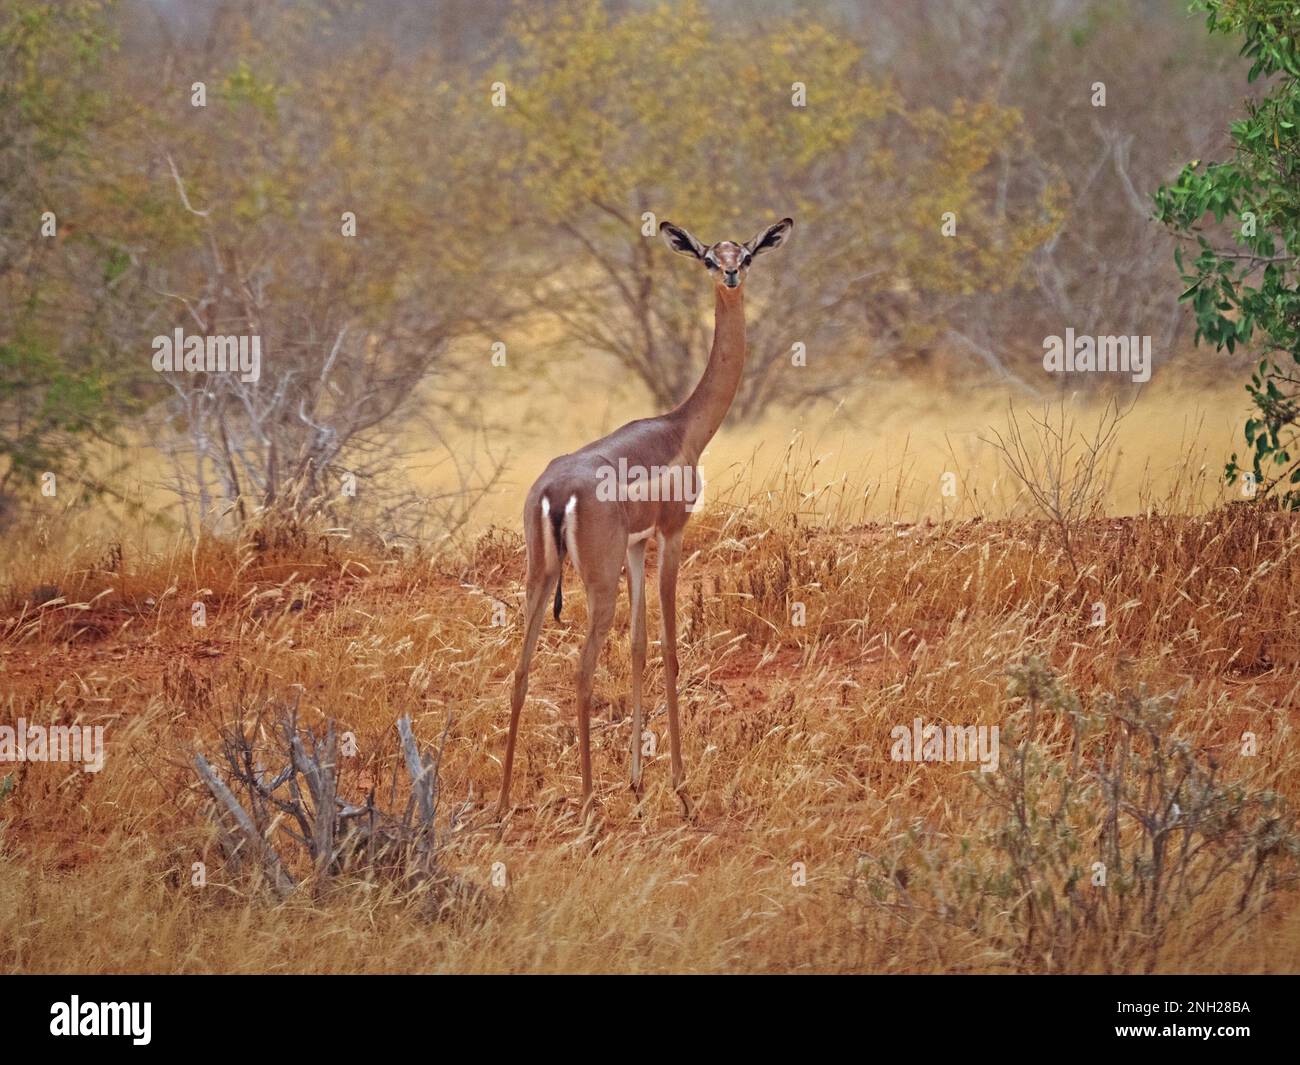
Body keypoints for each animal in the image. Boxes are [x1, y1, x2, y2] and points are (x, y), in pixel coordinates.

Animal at [496, 217, 794, 821]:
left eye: (746, 254)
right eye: (708, 257)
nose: (730, 275)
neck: (683, 426)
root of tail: (556, 492)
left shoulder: (637, 545)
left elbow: (636, 648)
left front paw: (636, 780)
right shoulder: (673, 533)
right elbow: (671, 648)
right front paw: (681, 788)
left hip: (540, 575)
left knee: (520, 668)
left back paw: (504, 800)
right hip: (597, 582)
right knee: (581, 670)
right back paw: (588, 802)